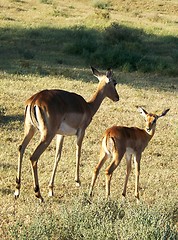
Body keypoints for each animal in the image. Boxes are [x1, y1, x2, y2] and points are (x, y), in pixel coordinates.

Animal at [14, 66, 119, 202]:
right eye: (114, 82)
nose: (117, 97)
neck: (88, 106)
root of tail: (34, 101)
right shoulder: (81, 132)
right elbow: (78, 153)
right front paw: (77, 181)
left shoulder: (60, 135)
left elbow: (57, 156)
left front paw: (51, 189)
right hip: (47, 135)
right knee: (33, 157)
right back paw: (38, 195)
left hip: (30, 129)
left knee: (21, 148)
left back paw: (17, 190)